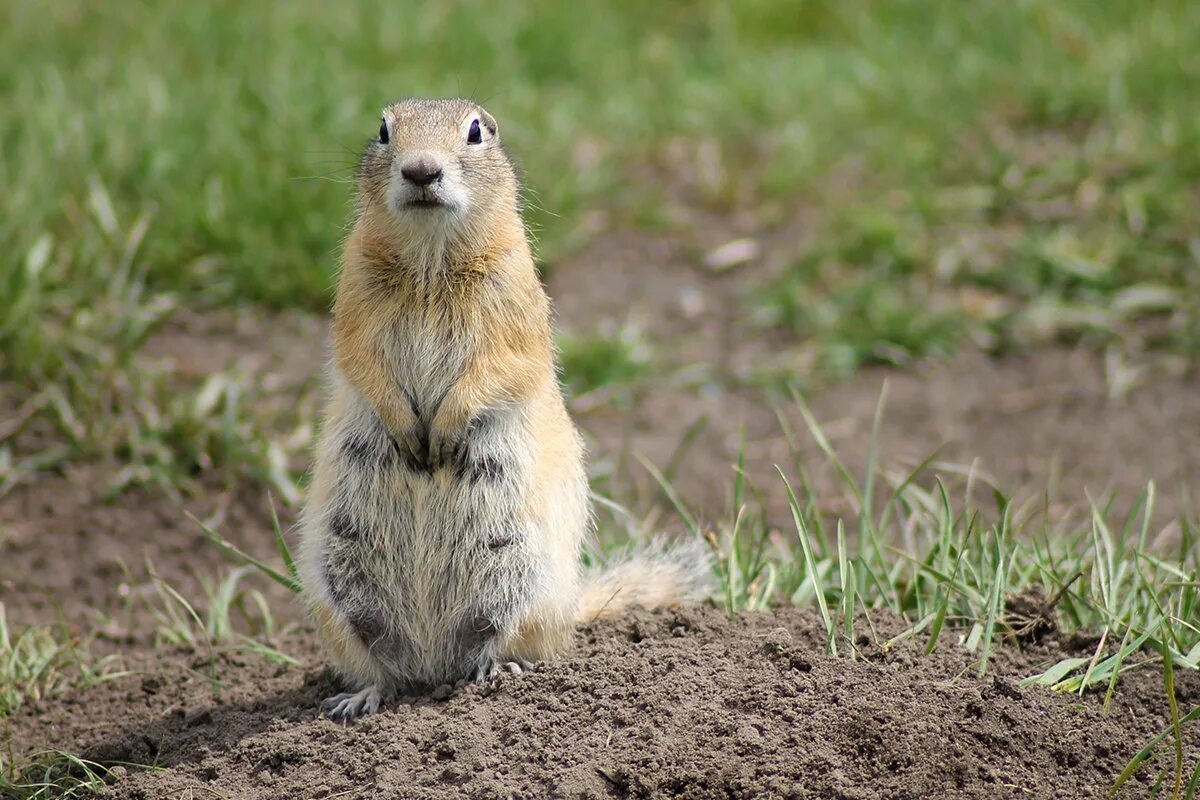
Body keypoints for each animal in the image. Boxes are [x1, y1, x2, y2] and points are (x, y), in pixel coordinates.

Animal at [298, 97, 705, 724]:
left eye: (476, 132)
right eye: (384, 129)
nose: (421, 170)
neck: (429, 261)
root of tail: (431, 665)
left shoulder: (514, 303)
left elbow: (499, 368)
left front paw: (440, 433)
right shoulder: (354, 300)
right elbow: (360, 360)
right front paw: (407, 431)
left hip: (519, 579)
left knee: (508, 643)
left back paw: (493, 672)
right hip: (338, 596)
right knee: (380, 666)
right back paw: (362, 696)